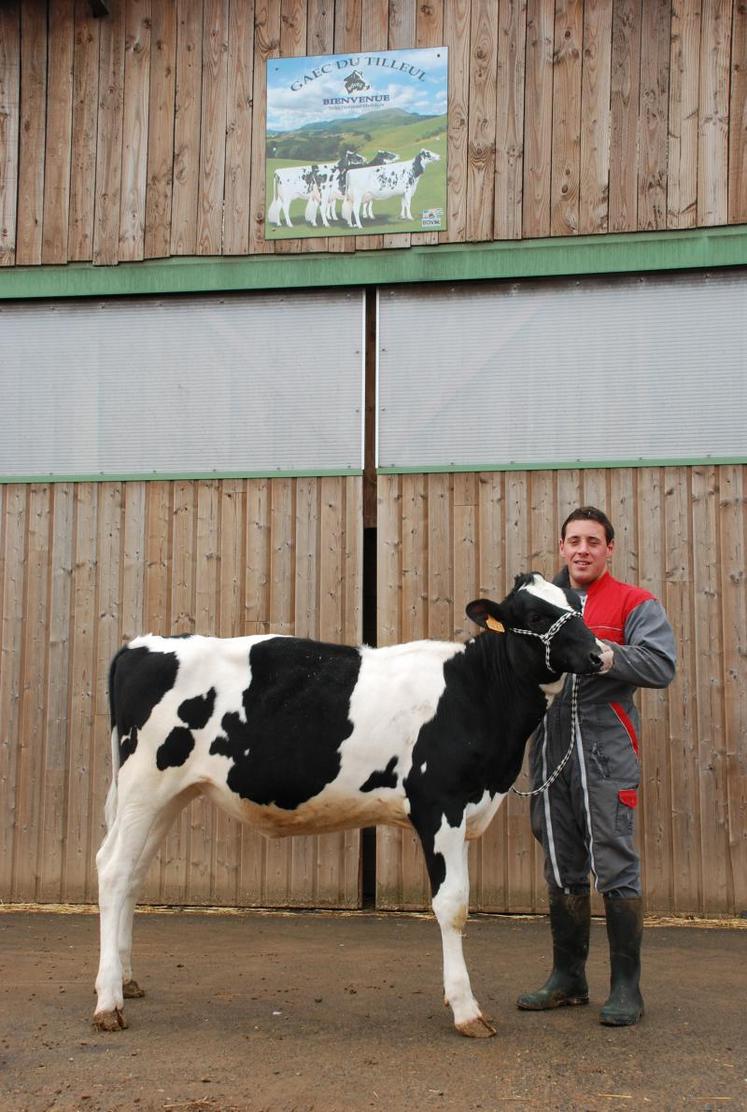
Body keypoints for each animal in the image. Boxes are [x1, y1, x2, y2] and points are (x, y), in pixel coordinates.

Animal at [93, 578, 604, 1036]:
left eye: (577, 604)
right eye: (535, 616)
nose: (601, 654)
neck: (474, 693)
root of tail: (142, 644)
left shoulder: (466, 812)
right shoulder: (440, 806)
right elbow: (452, 905)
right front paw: (466, 1010)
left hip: (168, 796)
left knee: (132, 874)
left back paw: (127, 980)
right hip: (144, 785)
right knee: (113, 870)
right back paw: (108, 1002)